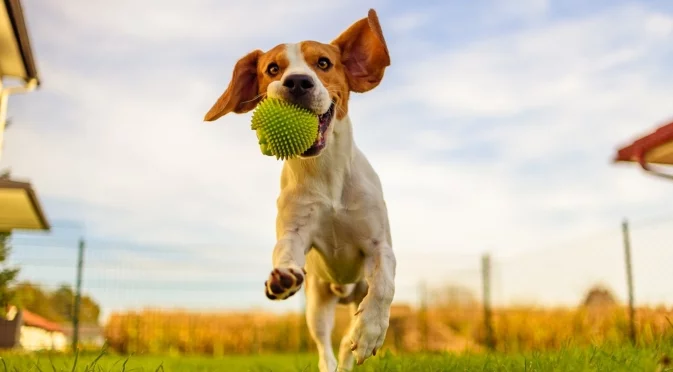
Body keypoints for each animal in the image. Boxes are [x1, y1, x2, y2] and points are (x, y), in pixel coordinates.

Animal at [202, 9, 396, 372]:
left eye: (323, 63)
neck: (326, 173)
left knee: (346, 342)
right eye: (272, 69)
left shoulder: (380, 245)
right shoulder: (295, 231)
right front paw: (282, 277)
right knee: (325, 349)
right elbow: (285, 250)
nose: (297, 82)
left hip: (354, 295)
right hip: (317, 306)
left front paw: (370, 332)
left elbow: (384, 284)